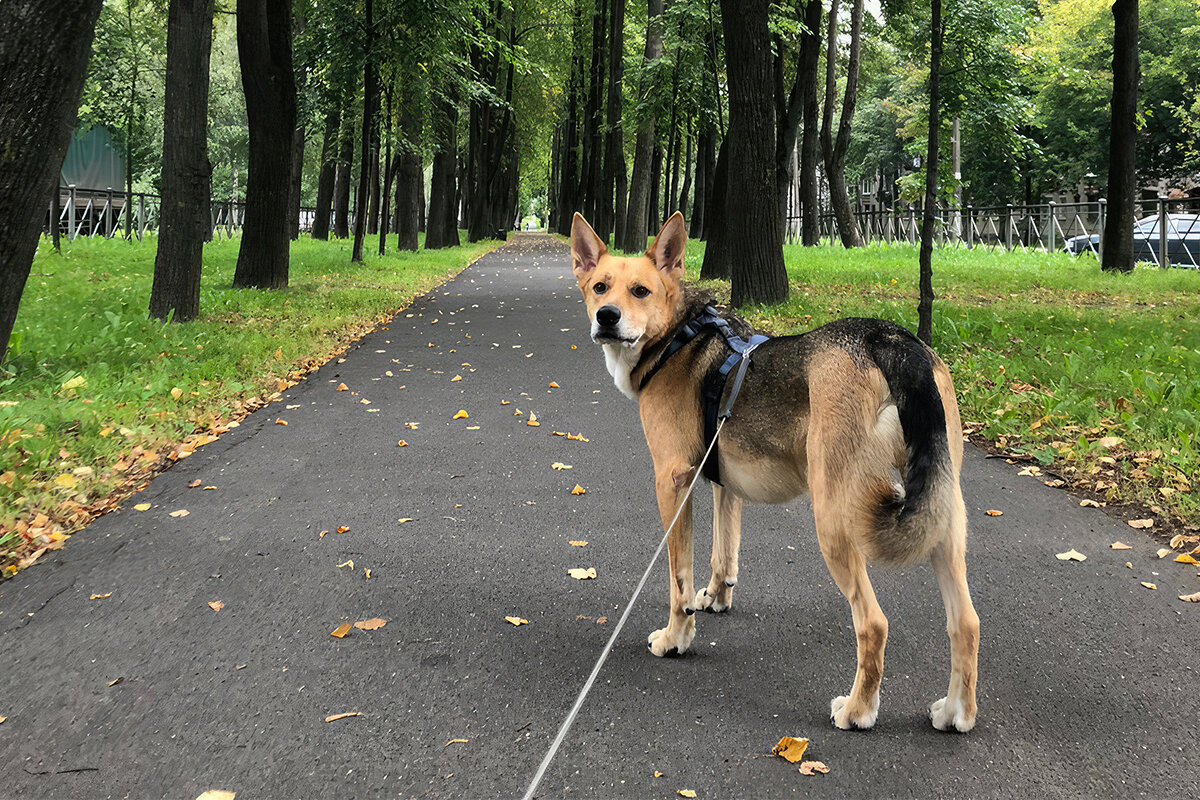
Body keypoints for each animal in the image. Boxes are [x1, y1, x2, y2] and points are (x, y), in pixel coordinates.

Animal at [573, 211, 984, 734]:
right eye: (600, 286)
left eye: (641, 291)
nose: (606, 317)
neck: (678, 336)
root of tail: (890, 341)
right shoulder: (722, 485)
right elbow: (723, 554)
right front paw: (716, 598)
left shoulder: (673, 483)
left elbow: (677, 578)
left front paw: (676, 637)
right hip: (943, 516)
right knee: (965, 622)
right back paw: (956, 711)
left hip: (836, 518)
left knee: (873, 623)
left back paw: (858, 710)